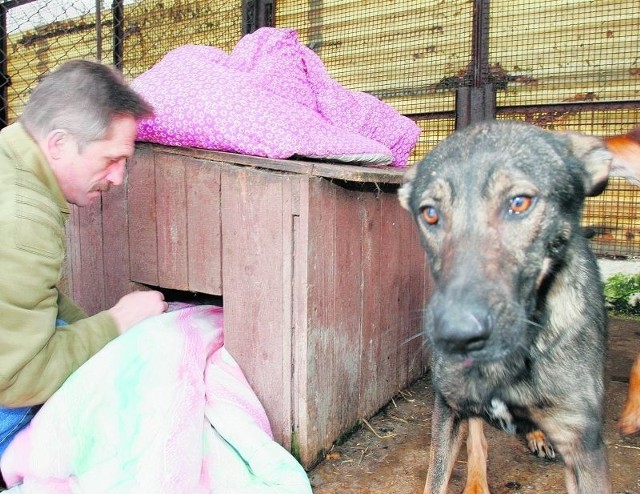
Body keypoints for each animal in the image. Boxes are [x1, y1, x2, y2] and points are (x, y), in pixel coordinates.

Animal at [400, 120, 616, 494]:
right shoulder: (448, 409)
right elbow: (437, 478)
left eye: (519, 202)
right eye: (430, 214)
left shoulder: (583, 443)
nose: (455, 335)